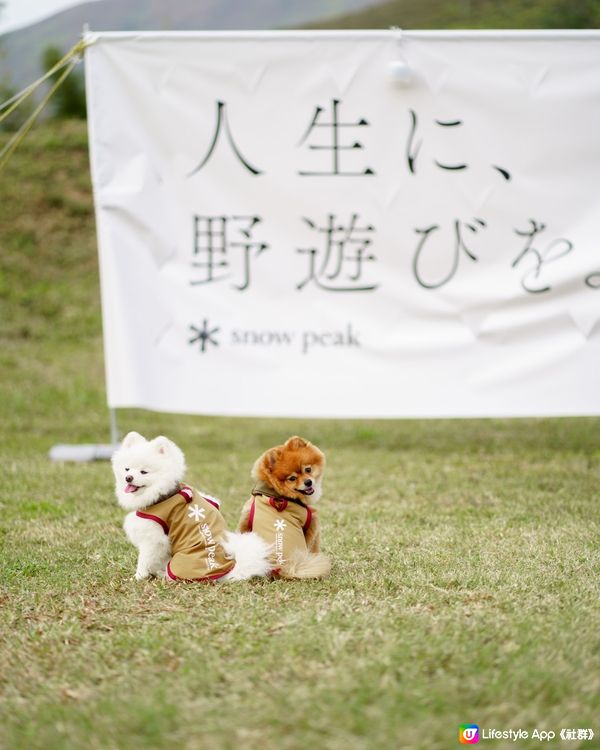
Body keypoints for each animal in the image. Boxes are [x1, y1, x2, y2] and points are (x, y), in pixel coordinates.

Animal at [112, 432, 272, 584]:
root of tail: (227, 573)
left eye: (144, 472)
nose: (128, 478)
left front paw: (138, 577)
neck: (162, 495)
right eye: (127, 469)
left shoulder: (153, 539)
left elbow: (144, 561)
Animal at [238, 434, 330, 580]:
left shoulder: (246, 516)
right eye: (292, 478)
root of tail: (284, 568)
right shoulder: (312, 523)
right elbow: (314, 547)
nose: (308, 482)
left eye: (308, 469)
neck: (277, 493)